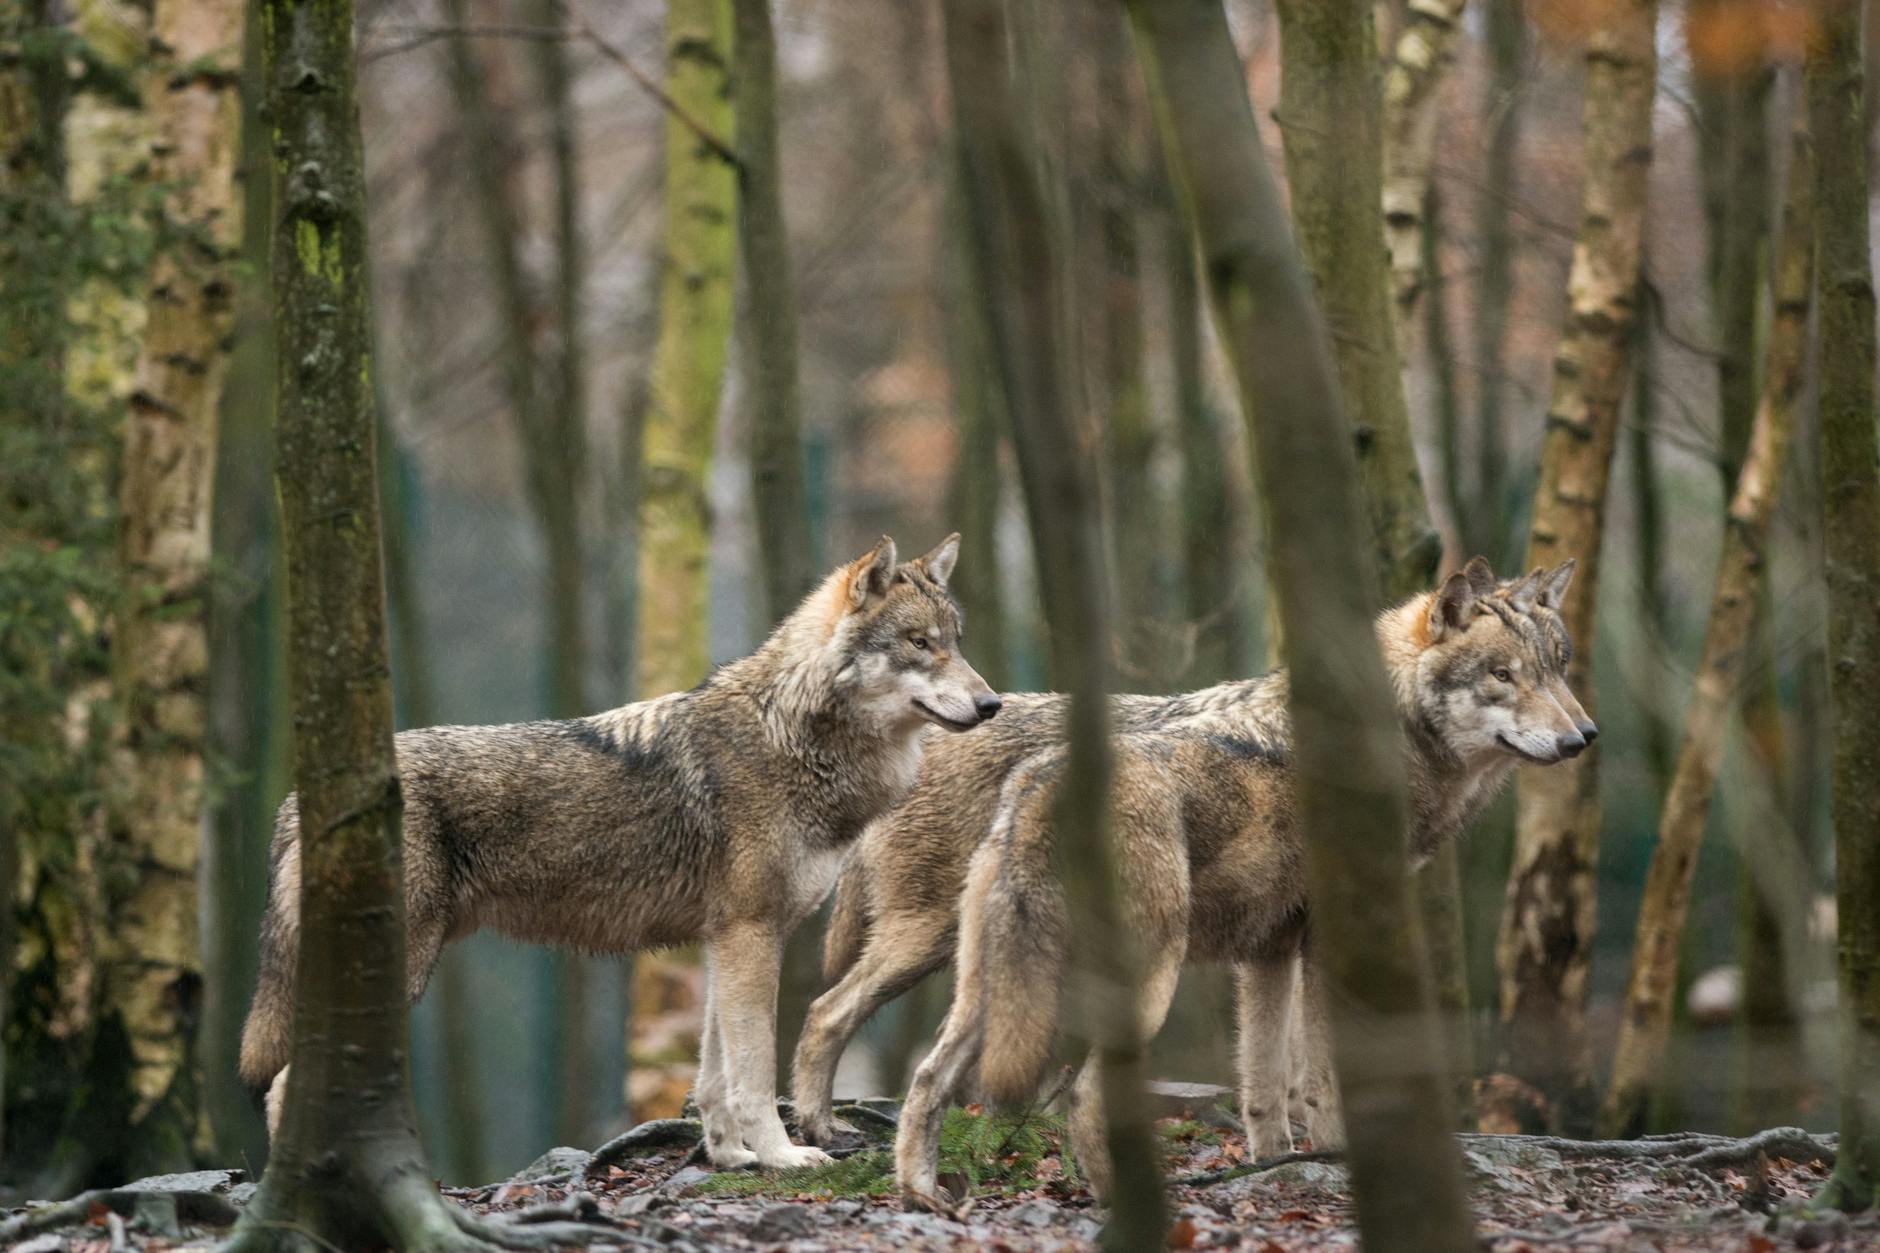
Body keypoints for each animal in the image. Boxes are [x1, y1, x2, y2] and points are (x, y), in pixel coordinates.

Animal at [239, 535, 1000, 1171]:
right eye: (919, 643)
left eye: (958, 643)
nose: (991, 702)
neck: (792, 735)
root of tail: (300, 797)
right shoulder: (753, 935)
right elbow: (754, 1071)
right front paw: (784, 1157)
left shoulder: (728, 939)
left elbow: (713, 1073)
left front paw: (730, 1157)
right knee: (282, 1085)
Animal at [784, 559, 1592, 1207]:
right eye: (1503, 675)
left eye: (1560, 667)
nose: (1584, 738)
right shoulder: (1324, 948)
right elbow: (1321, 1080)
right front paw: (1338, 1160)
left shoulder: (1269, 953)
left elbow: (1266, 1085)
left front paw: (1270, 1165)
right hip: (1055, 964)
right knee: (846, 1018)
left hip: (989, 974)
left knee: (916, 1068)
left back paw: (916, 1188)